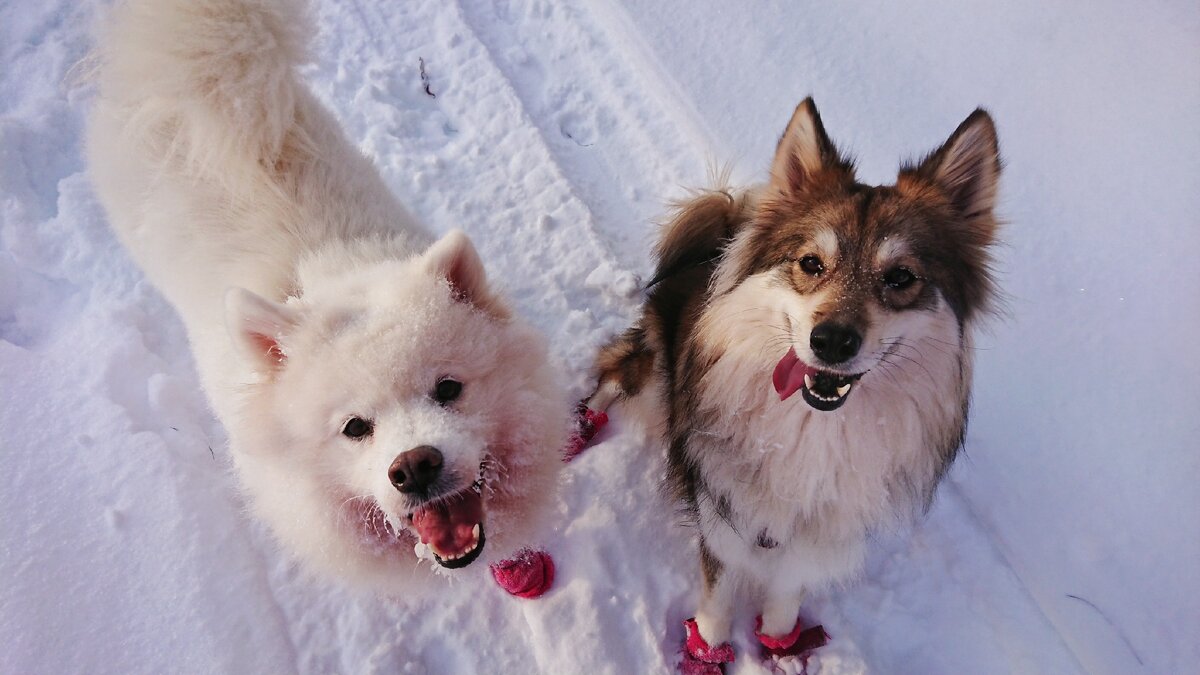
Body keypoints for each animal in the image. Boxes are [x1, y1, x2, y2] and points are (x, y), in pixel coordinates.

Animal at [588, 97, 993, 653]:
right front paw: (709, 649)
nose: (832, 341)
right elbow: (717, 601)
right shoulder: (722, 515)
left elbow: (786, 600)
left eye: (901, 277)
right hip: (651, 368)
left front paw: (781, 647)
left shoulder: (817, 531)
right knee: (613, 373)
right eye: (811, 263)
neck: (812, 431)